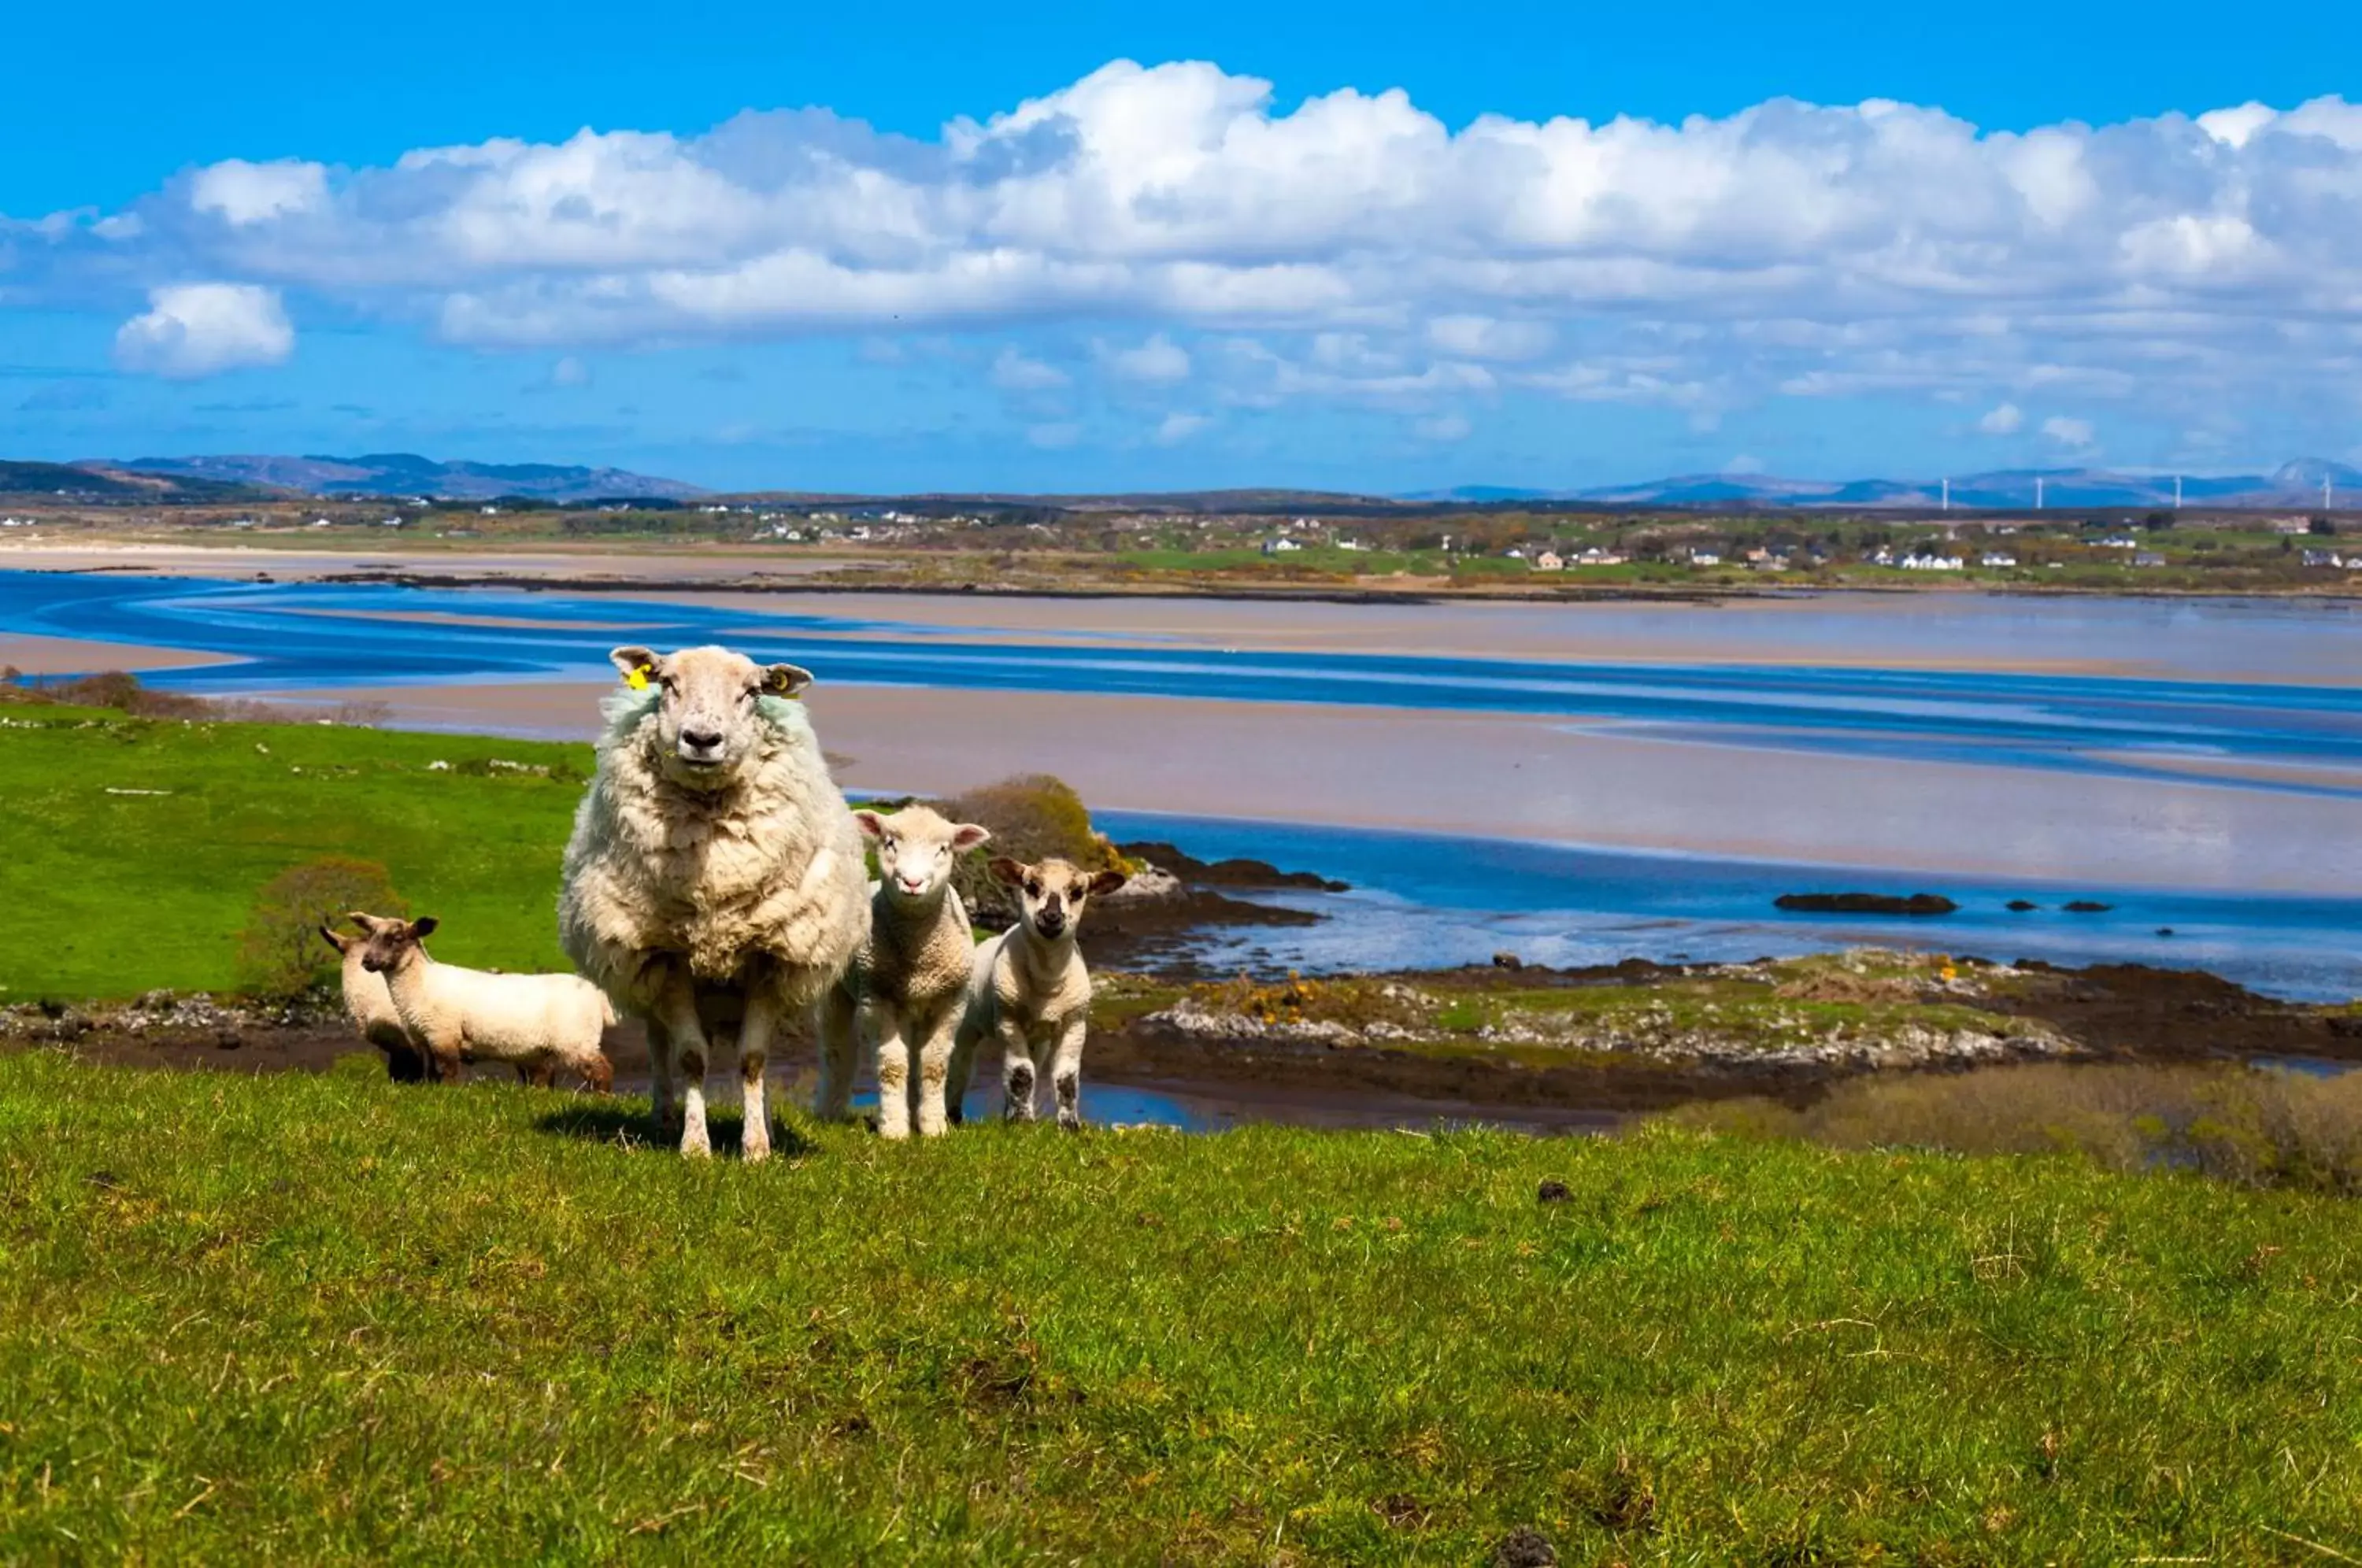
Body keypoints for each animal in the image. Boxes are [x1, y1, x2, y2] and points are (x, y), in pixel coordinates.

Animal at [345, 907, 619, 1091]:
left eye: (397, 939)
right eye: (372, 937)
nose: (367, 961)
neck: (421, 983)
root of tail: (598, 995)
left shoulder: (443, 1034)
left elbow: (447, 1071)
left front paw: (448, 1094)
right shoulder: (424, 1039)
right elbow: (431, 1072)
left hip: (577, 1039)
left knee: (601, 1071)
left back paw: (602, 1099)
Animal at [557, 642, 874, 1157]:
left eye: (752, 691)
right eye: (667, 682)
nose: (702, 739)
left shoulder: (770, 956)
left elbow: (753, 1059)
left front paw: (757, 1146)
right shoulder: (666, 956)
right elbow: (689, 1058)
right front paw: (694, 1145)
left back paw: (765, 1121)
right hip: (644, 979)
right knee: (657, 1043)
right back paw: (664, 1116)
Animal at [817, 808, 992, 1138]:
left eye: (943, 849)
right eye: (890, 843)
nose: (912, 882)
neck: (919, 959)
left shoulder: (950, 1003)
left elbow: (933, 1065)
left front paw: (933, 1126)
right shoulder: (877, 998)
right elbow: (893, 1065)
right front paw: (894, 1128)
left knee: (914, 1056)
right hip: (836, 993)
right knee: (839, 1052)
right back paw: (831, 1112)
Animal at [950, 860, 1124, 1129]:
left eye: (1078, 892)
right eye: (1030, 886)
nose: (1051, 917)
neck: (1047, 981)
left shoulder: (1075, 1024)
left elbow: (1066, 1079)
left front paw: (1069, 1126)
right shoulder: (1008, 1020)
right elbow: (1021, 1073)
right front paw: (1022, 1123)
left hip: (1038, 1041)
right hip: (968, 1025)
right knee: (962, 1067)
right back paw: (954, 1117)